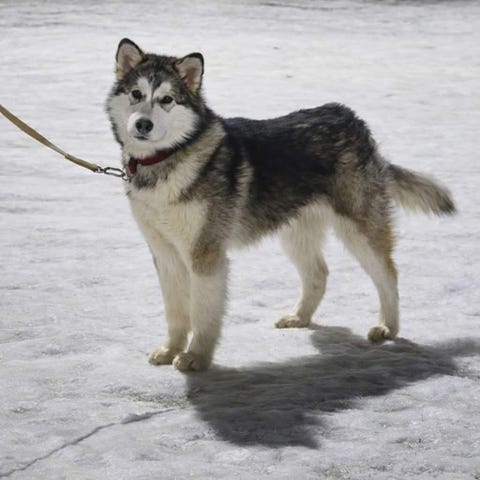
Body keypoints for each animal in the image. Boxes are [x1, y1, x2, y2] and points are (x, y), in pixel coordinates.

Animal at [106, 38, 456, 372]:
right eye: (136, 94)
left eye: (167, 99)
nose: (143, 125)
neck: (166, 161)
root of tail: (351, 119)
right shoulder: (165, 253)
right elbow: (176, 311)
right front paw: (170, 350)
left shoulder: (205, 253)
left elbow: (203, 313)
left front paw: (196, 358)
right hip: (294, 232)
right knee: (319, 273)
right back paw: (300, 317)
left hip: (359, 230)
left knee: (389, 275)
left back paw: (387, 328)